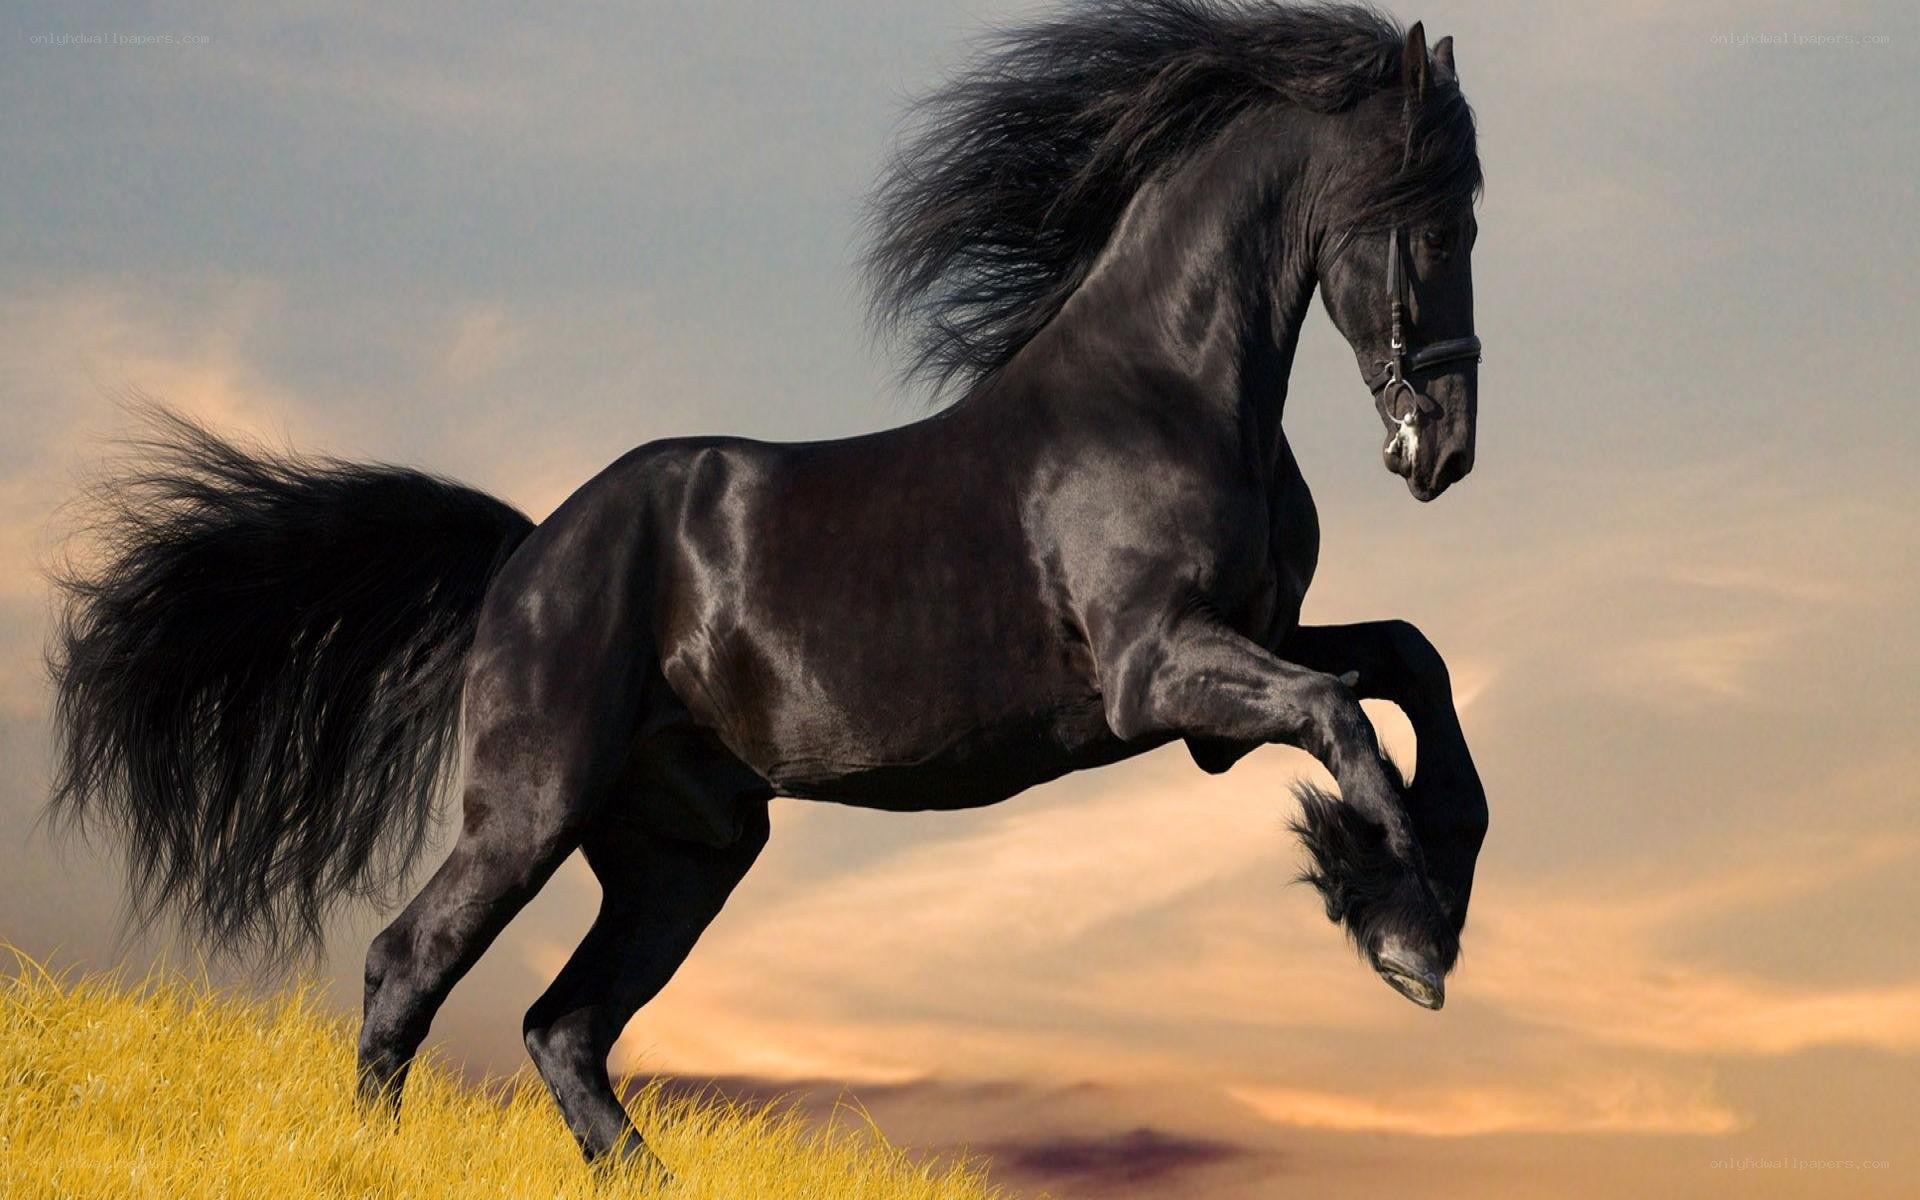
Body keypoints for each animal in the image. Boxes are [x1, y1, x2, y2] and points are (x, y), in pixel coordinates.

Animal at [48, 1, 1489, 1172]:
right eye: (1433, 220)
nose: (1445, 450)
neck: (1166, 394)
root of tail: (526, 553)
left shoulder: (1247, 653)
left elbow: (1410, 666)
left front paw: (1419, 894)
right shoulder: (1160, 674)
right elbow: (1346, 716)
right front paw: (1404, 933)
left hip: (686, 851)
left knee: (563, 1024)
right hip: (531, 806)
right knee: (411, 967)